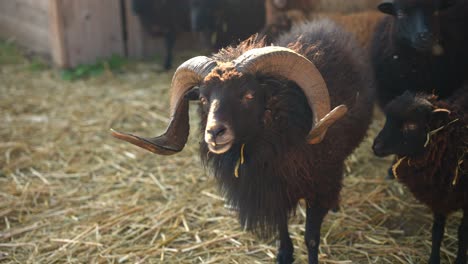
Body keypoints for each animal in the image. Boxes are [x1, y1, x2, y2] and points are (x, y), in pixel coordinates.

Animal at [111, 20, 374, 264]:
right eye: (203, 99)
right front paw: (284, 254)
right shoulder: (272, 191)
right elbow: (282, 233)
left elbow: (310, 238)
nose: (214, 132)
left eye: (248, 95)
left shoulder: (318, 185)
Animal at [372, 88, 468, 264]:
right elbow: (437, 230)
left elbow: (463, 232)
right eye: (387, 118)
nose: (376, 146)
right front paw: (433, 259)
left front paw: (460, 260)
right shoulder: (439, 195)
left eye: (411, 125)